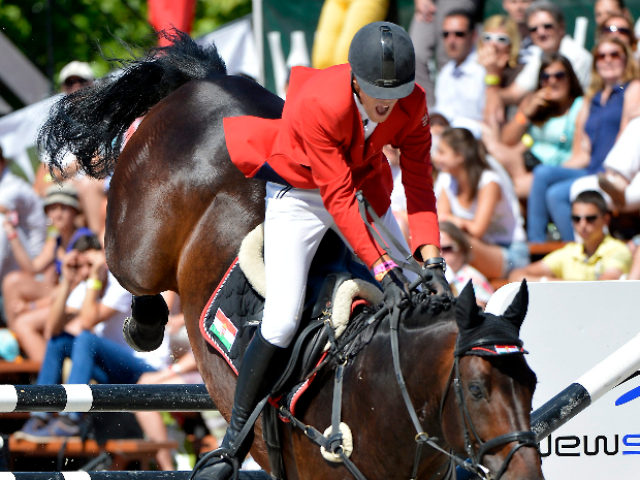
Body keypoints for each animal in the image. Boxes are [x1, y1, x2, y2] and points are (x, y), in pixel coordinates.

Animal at [37, 31, 544, 478]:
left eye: (531, 383)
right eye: (476, 390)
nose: (525, 473)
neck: (379, 387)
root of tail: (207, 81)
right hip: (139, 243)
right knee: (135, 276)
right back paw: (143, 327)